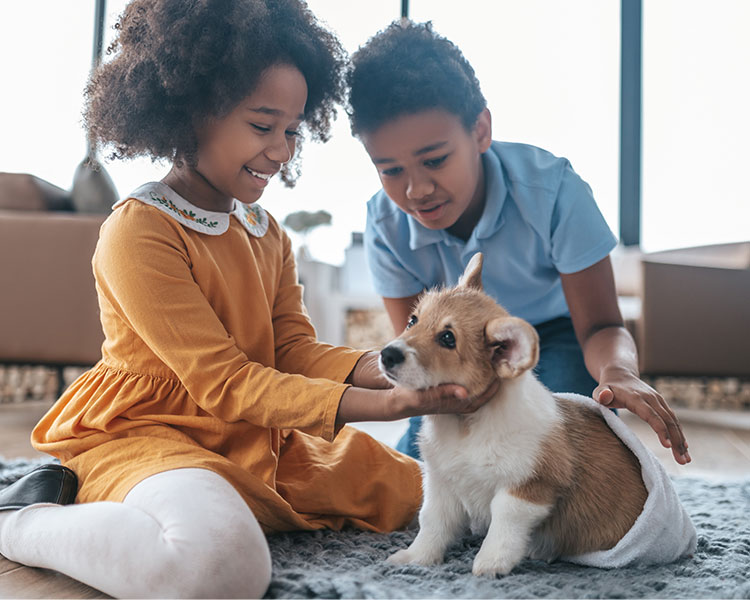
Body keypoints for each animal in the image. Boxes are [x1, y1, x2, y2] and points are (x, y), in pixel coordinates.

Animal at [382, 252, 652, 576]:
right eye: (413, 320)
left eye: (448, 338)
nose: (386, 354)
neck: (467, 426)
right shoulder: (442, 484)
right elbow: (432, 523)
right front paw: (416, 559)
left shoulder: (528, 486)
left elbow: (503, 526)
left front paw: (490, 565)